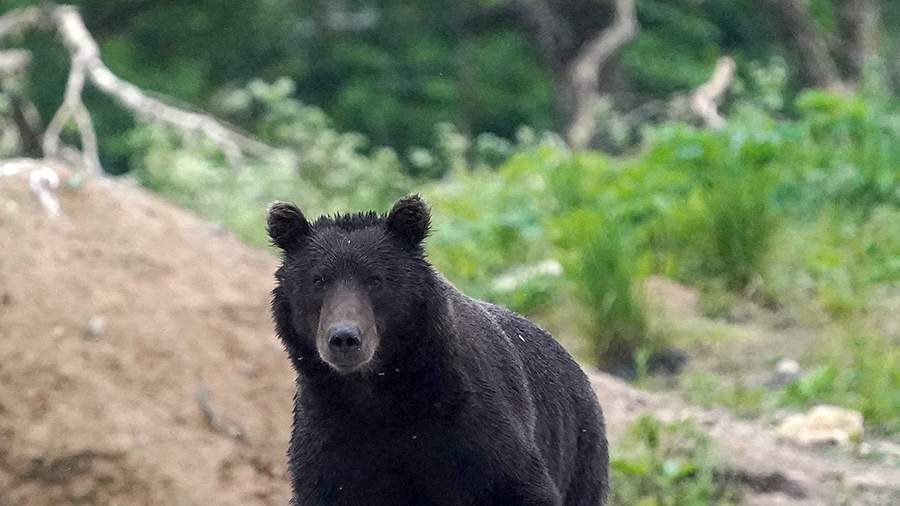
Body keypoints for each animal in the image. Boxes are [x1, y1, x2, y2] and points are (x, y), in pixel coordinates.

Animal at [266, 195, 604, 506]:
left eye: (375, 280)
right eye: (318, 280)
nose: (344, 338)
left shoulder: (475, 425)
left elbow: (517, 484)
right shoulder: (330, 435)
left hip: (579, 449)